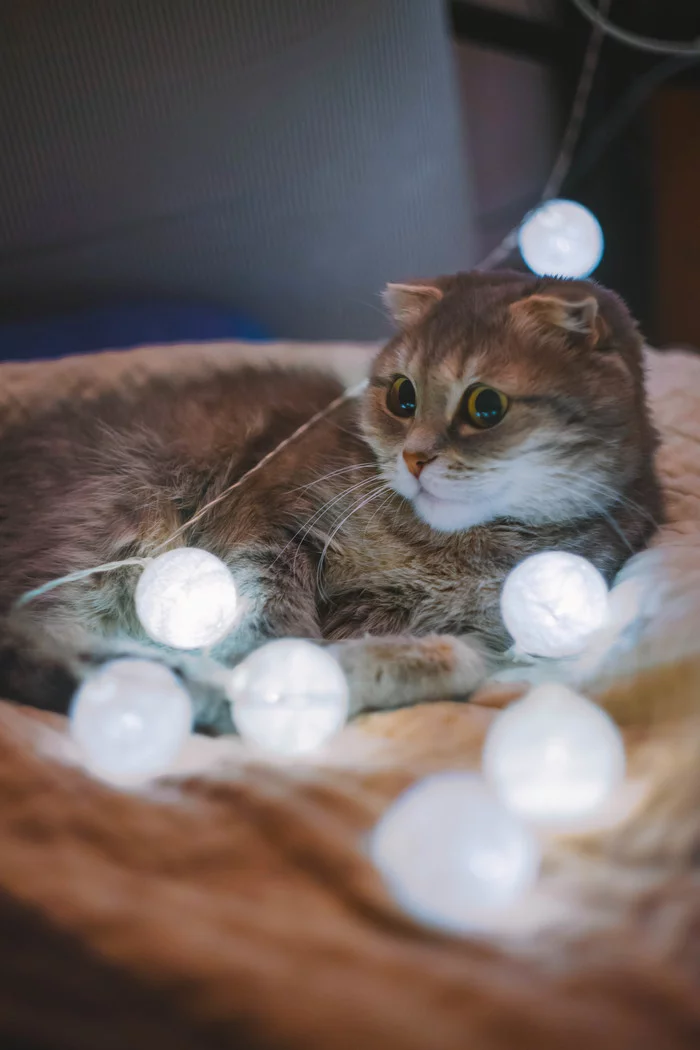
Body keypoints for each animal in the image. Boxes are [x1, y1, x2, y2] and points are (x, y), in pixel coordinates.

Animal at [0, 270, 663, 730]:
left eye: (486, 406)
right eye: (401, 396)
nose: (414, 459)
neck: (453, 545)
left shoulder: (464, 623)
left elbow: (419, 653)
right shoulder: (270, 521)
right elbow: (269, 616)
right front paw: (269, 669)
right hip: (111, 522)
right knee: (35, 646)